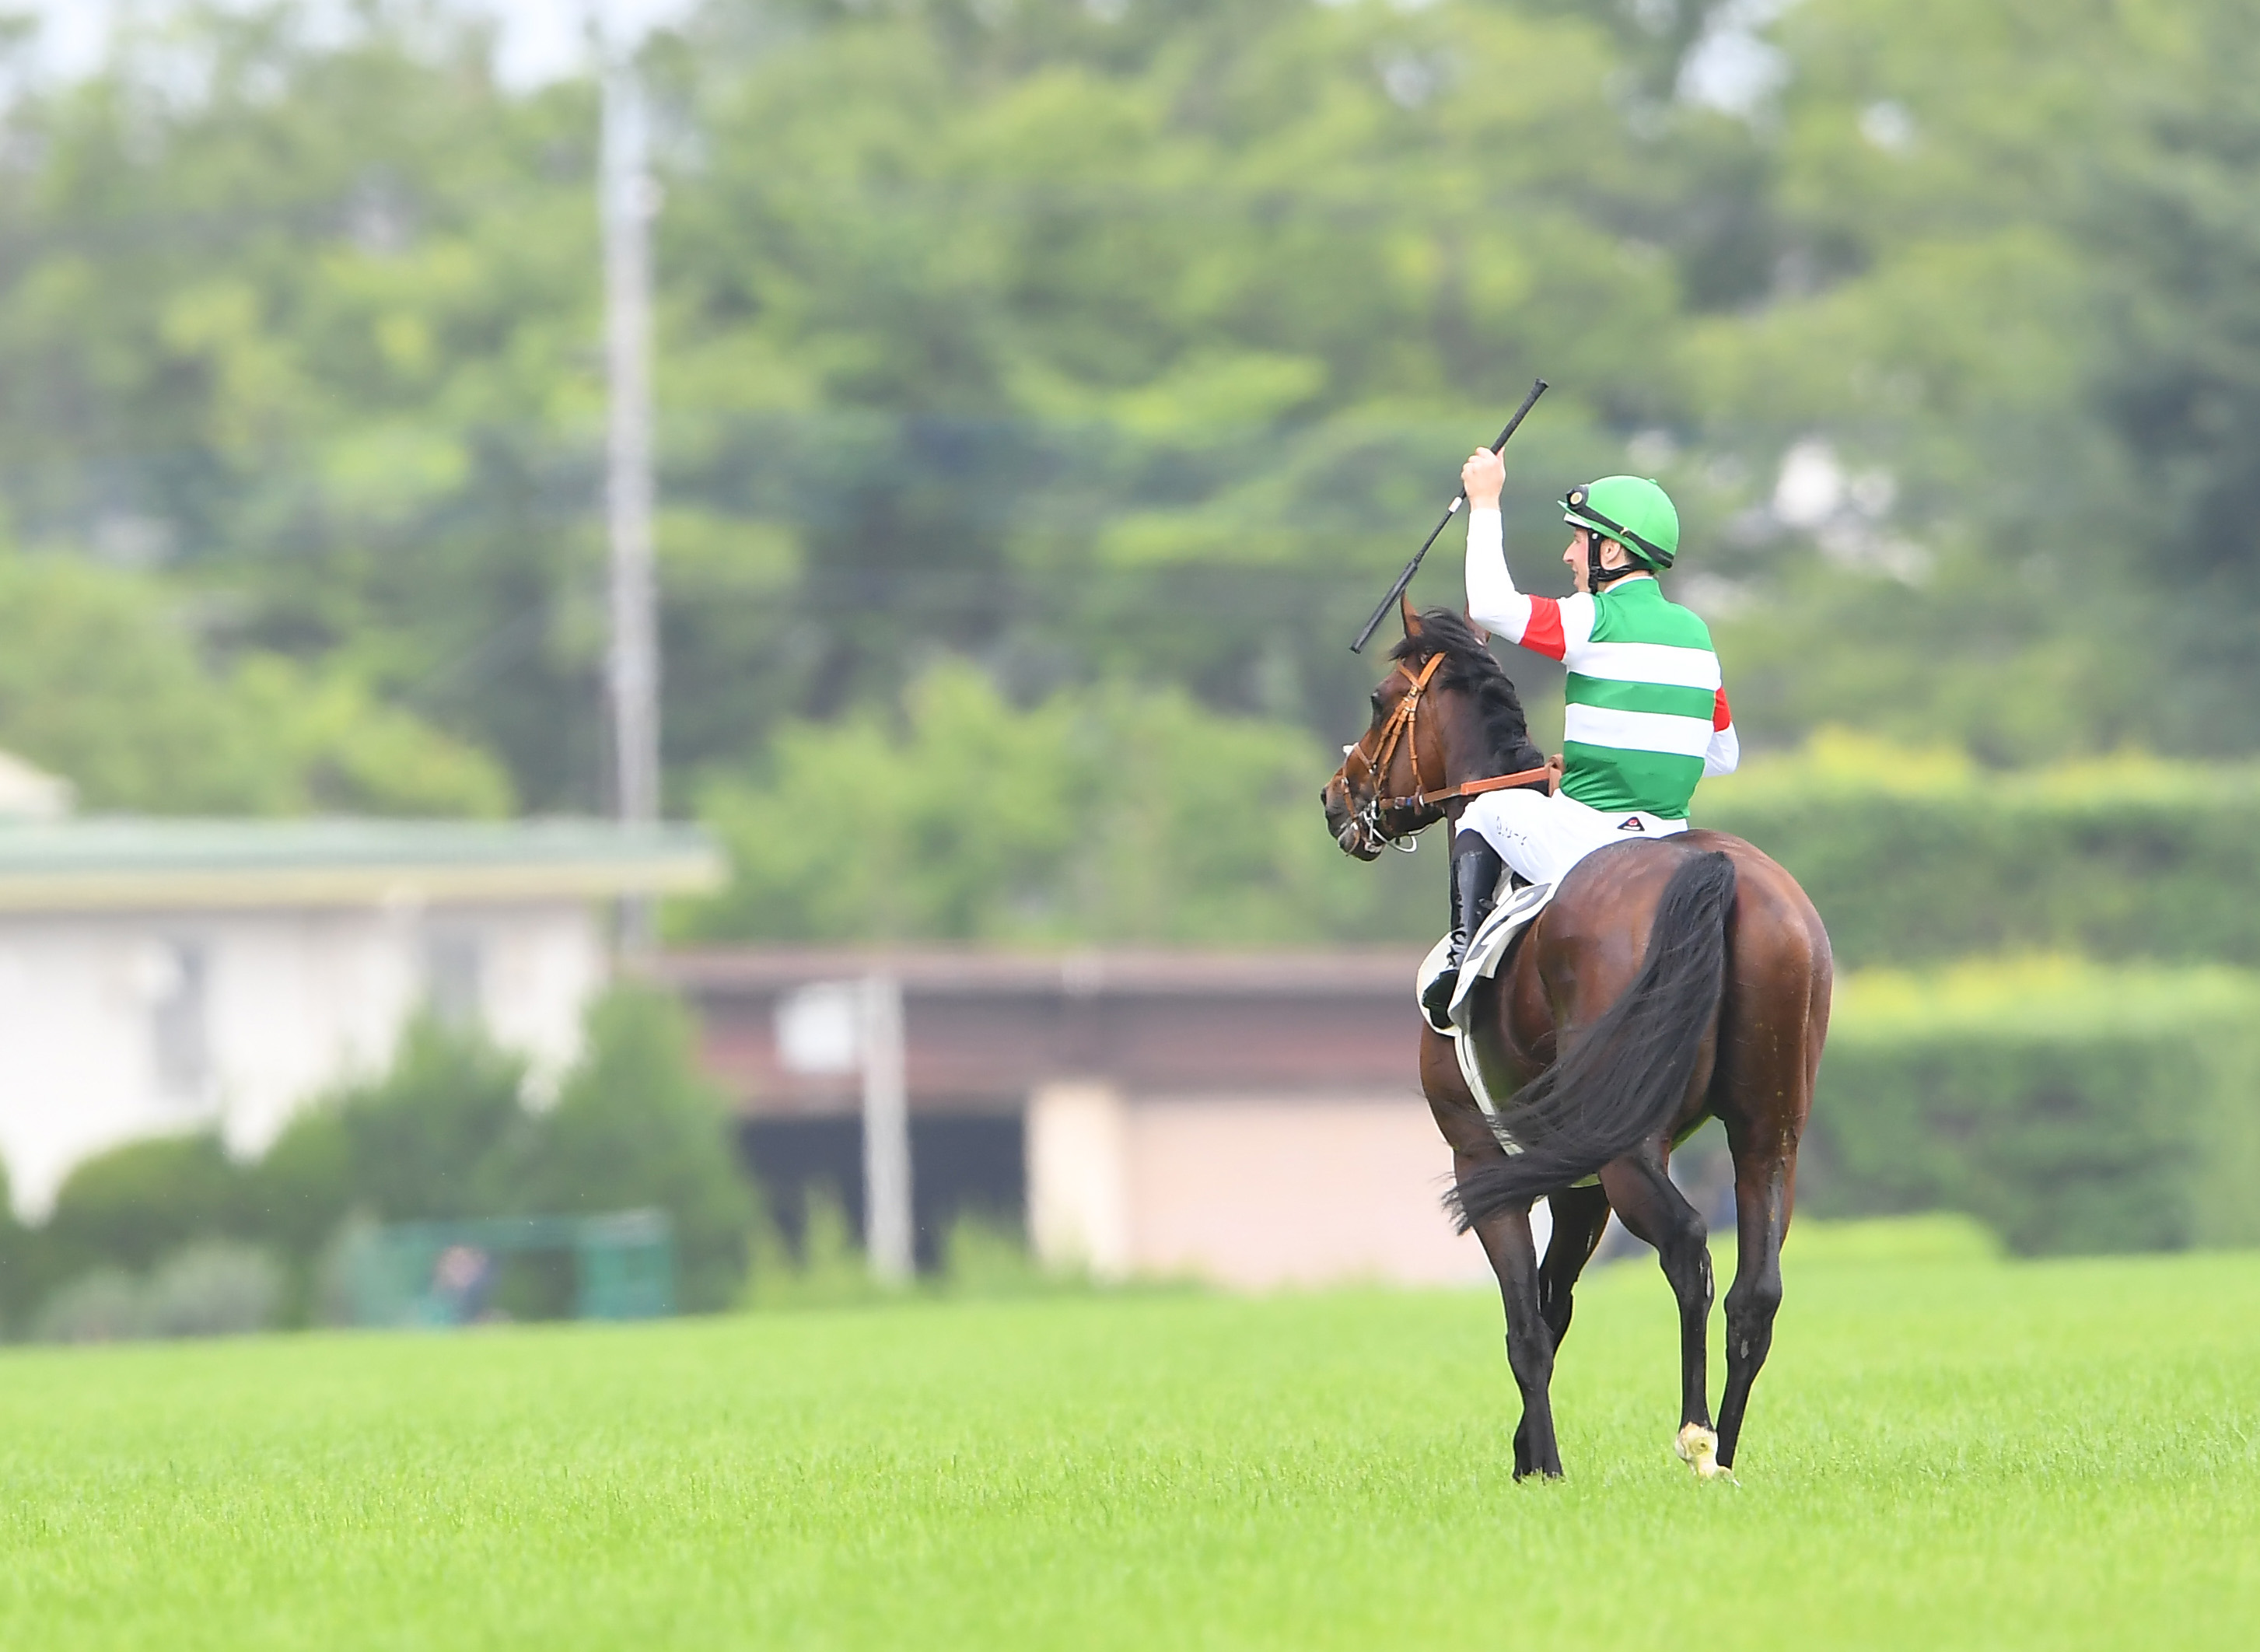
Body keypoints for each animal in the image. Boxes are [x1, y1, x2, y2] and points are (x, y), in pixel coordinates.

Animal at [1320, 599, 1832, 1480]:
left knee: (1688, 1248)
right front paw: (1528, 1451)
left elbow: (1527, 1325)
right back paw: (1728, 1450)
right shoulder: (1574, 1183)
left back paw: (1697, 1436)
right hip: (1770, 1132)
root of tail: (1718, 871)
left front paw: (1544, 1466)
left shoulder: (1484, 1163)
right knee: (1754, 1290)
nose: (1332, 798)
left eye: (1381, 701)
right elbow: (1555, 1309)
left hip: (1629, 1146)